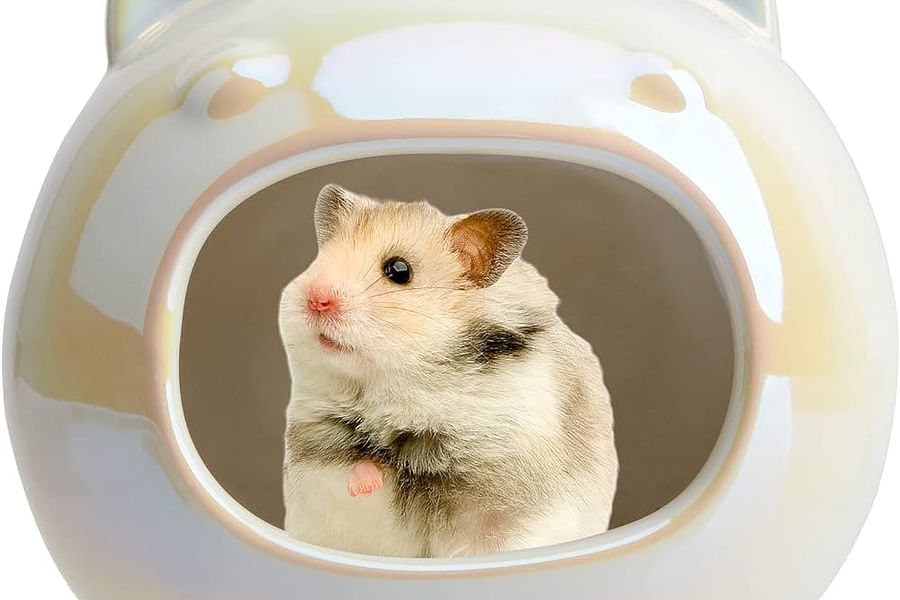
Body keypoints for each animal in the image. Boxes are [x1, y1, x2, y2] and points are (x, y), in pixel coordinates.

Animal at [280, 184, 618, 558]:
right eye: (319, 259)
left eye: (399, 270)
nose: (316, 299)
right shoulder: (315, 447)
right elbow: (347, 467)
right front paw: (367, 480)